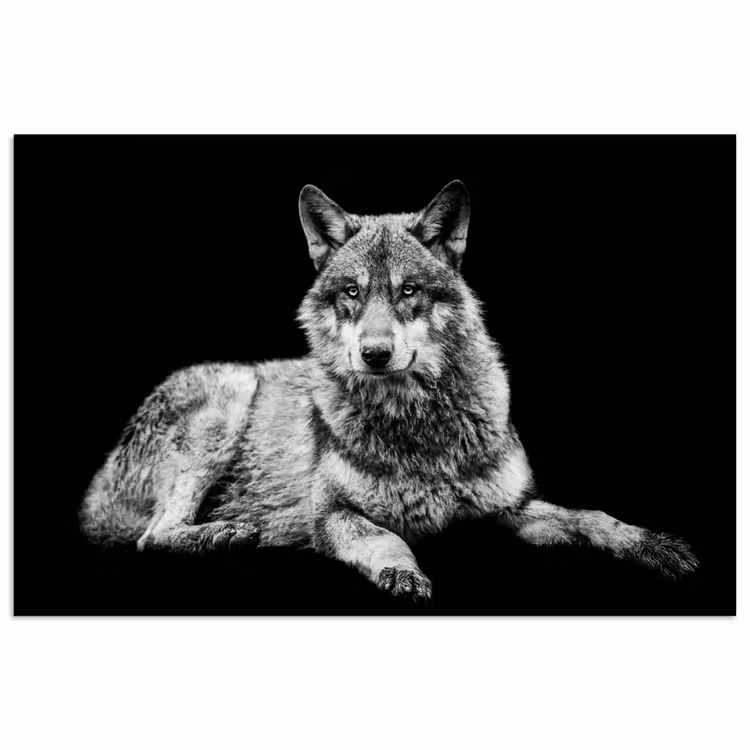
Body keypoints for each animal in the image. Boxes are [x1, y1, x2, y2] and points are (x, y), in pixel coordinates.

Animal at [80, 180, 698, 601]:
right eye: (352, 292)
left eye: (408, 291)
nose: (374, 354)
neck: (418, 425)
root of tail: (98, 484)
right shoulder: (332, 516)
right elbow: (386, 539)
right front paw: (403, 573)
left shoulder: (511, 508)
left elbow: (592, 516)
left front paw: (653, 545)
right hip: (228, 399)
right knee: (151, 536)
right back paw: (226, 533)